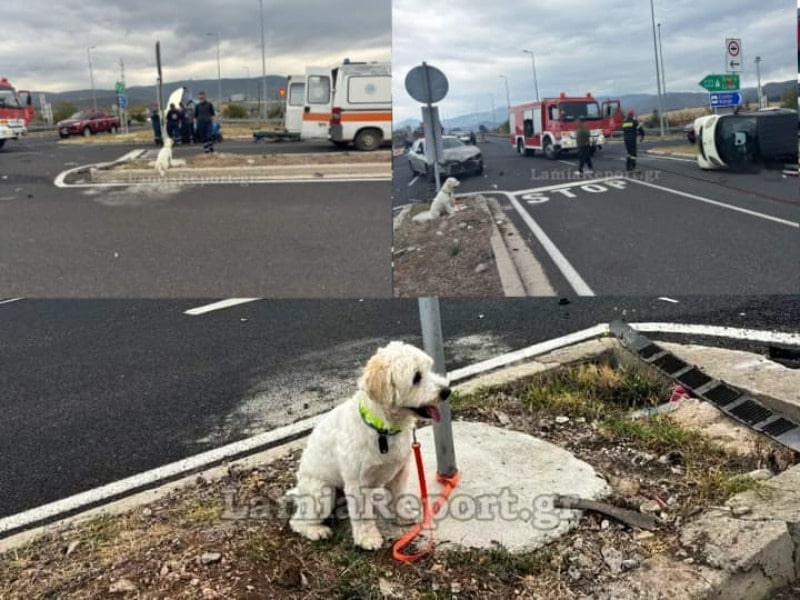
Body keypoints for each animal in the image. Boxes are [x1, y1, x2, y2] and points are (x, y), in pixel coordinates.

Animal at [288, 340, 450, 552]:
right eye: (416, 377)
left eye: (429, 368)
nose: (447, 391)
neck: (382, 428)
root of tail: (300, 490)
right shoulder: (357, 483)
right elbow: (363, 515)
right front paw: (368, 538)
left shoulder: (399, 472)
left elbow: (398, 495)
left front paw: (402, 515)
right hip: (321, 492)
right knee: (296, 521)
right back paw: (316, 530)